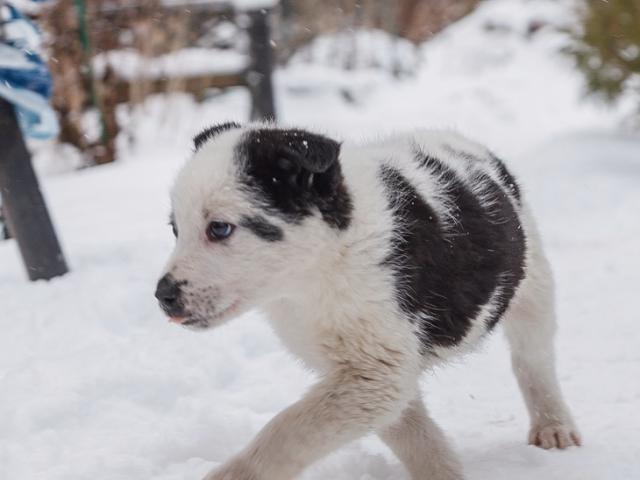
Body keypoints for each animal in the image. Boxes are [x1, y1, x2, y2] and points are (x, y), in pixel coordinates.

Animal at [155, 123, 580, 480]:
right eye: (176, 229)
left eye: (219, 228)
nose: (163, 296)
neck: (319, 270)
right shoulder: (375, 370)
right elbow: (411, 431)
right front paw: (442, 472)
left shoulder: (375, 369)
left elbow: (290, 429)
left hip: (533, 282)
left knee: (533, 359)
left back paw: (553, 425)